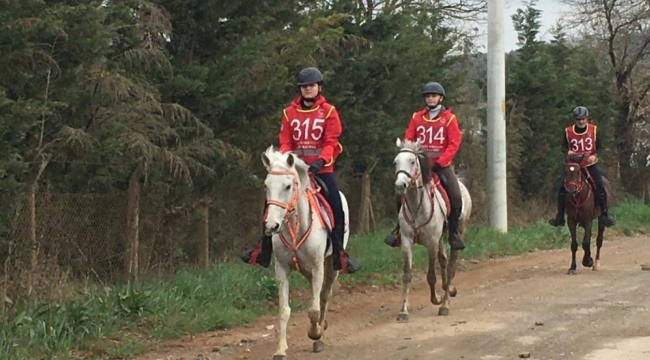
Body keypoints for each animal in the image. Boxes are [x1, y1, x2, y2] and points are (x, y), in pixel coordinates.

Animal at [260, 145, 350, 358]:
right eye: (267, 186)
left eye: (287, 186)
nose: (271, 226)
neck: (295, 226)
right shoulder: (282, 268)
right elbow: (284, 310)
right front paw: (281, 349)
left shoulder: (318, 265)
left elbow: (314, 310)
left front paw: (315, 333)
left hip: (331, 266)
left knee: (324, 295)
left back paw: (320, 332)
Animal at [392, 139, 468, 320]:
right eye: (395, 162)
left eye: (412, 162)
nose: (400, 186)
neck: (416, 206)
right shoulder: (406, 241)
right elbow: (407, 275)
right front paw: (403, 311)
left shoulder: (432, 242)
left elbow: (431, 276)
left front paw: (437, 299)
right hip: (440, 238)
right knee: (444, 260)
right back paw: (449, 290)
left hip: (458, 232)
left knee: (451, 265)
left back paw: (445, 304)